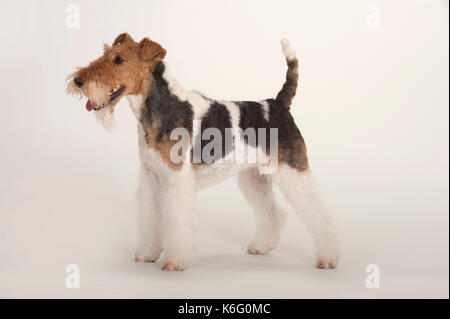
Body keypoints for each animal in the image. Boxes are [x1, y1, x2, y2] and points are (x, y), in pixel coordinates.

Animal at [67, 33, 340, 272]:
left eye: (119, 60)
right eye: (105, 54)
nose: (78, 81)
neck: (160, 108)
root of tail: (277, 103)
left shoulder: (177, 180)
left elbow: (177, 223)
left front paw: (174, 262)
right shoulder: (151, 178)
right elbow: (149, 219)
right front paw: (147, 253)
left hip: (294, 170)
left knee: (320, 215)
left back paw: (329, 258)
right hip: (254, 176)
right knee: (273, 212)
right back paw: (262, 247)